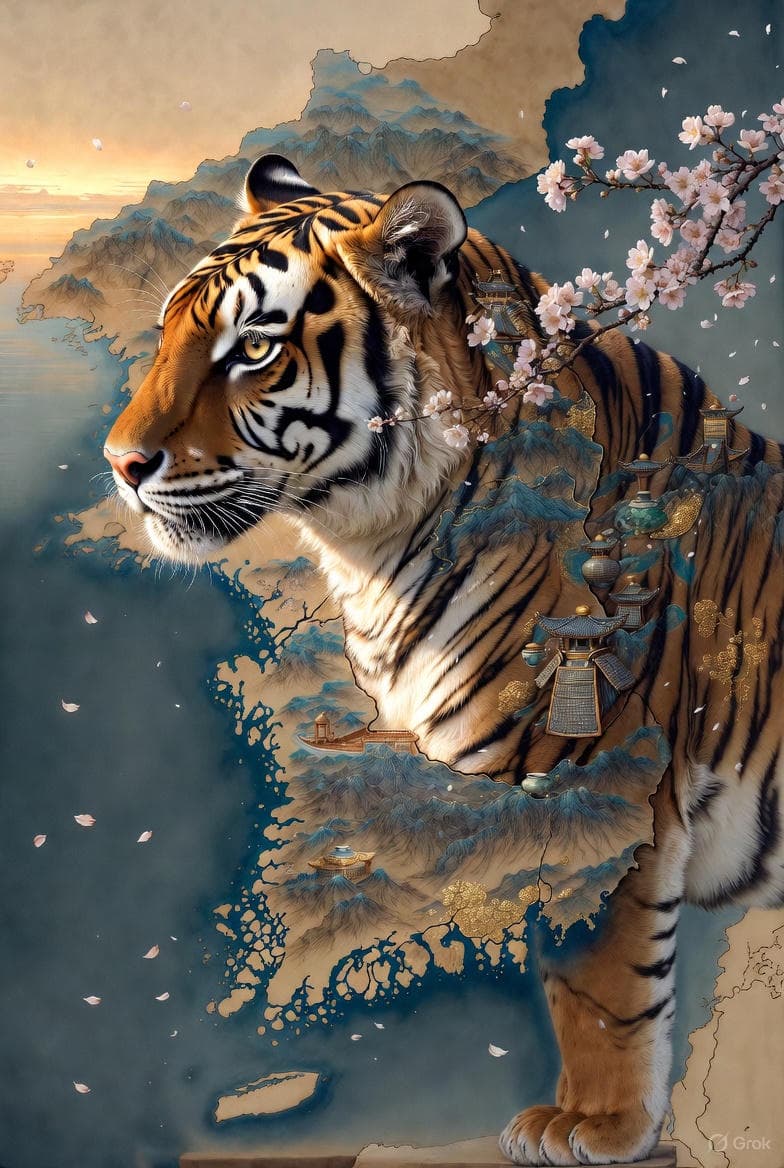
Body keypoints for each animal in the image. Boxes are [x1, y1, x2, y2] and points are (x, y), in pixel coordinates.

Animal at [104, 154, 784, 1166]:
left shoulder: (590, 780)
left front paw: (596, 1125)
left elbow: (599, 977)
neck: (371, 552)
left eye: (252, 349)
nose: (120, 465)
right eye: (166, 335)